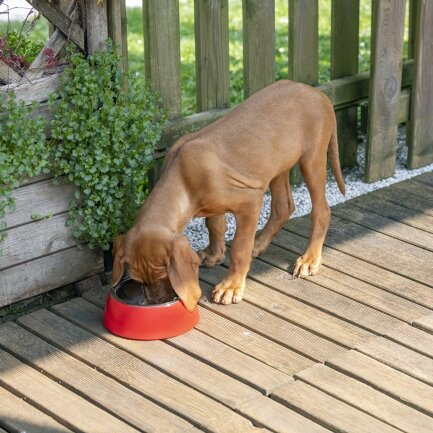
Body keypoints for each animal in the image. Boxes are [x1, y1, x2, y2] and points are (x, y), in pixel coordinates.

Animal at [111, 80, 344, 310]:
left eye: (163, 275)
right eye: (140, 280)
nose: (155, 302)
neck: (181, 178)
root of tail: (318, 93)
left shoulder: (250, 202)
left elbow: (239, 249)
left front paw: (231, 286)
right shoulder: (212, 203)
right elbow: (214, 225)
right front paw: (215, 254)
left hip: (311, 160)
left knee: (321, 210)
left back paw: (309, 259)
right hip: (277, 165)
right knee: (283, 207)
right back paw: (259, 243)